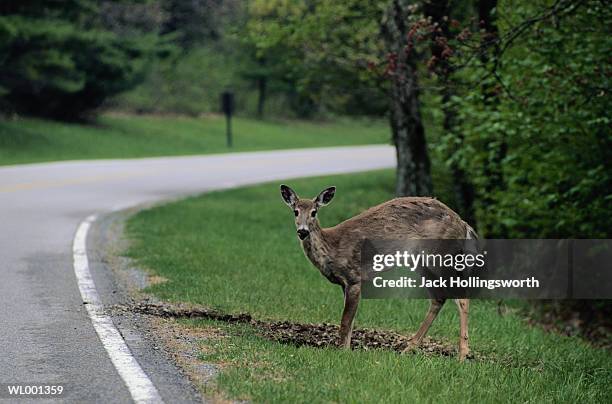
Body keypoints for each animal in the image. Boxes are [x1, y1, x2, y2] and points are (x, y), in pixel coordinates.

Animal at [280, 185, 476, 362]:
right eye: (295, 212)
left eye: (314, 212)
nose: (302, 231)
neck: (331, 249)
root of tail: (463, 224)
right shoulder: (345, 284)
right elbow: (350, 321)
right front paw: (346, 350)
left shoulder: (354, 276)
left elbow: (345, 321)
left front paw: (342, 353)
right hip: (423, 262)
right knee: (439, 298)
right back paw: (408, 350)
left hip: (441, 255)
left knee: (461, 296)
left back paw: (462, 355)